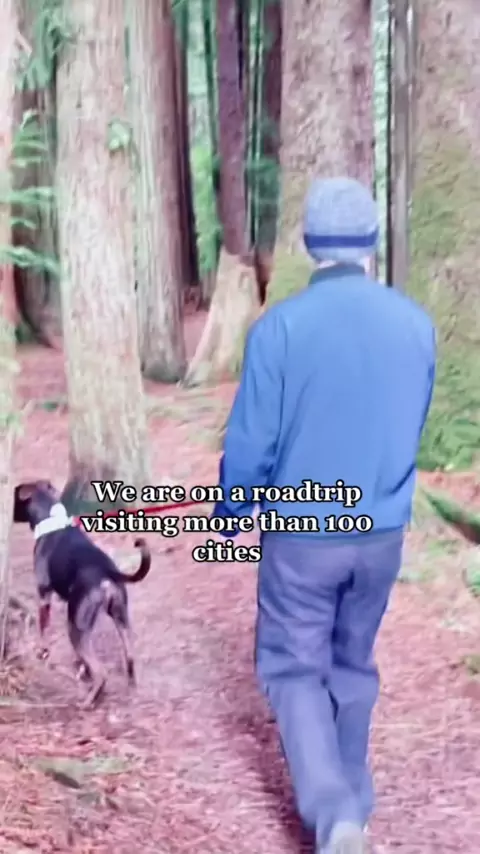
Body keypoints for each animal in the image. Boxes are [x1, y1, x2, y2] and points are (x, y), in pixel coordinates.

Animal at [13, 479, 151, 708]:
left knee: (102, 672)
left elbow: (43, 629)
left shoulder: (44, 595)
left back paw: (88, 701)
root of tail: (107, 572)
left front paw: (43, 652)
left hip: (76, 626)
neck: (52, 521)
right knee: (129, 655)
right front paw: (80, 667)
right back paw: (131, 688)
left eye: (16, 497)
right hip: (120, 617)